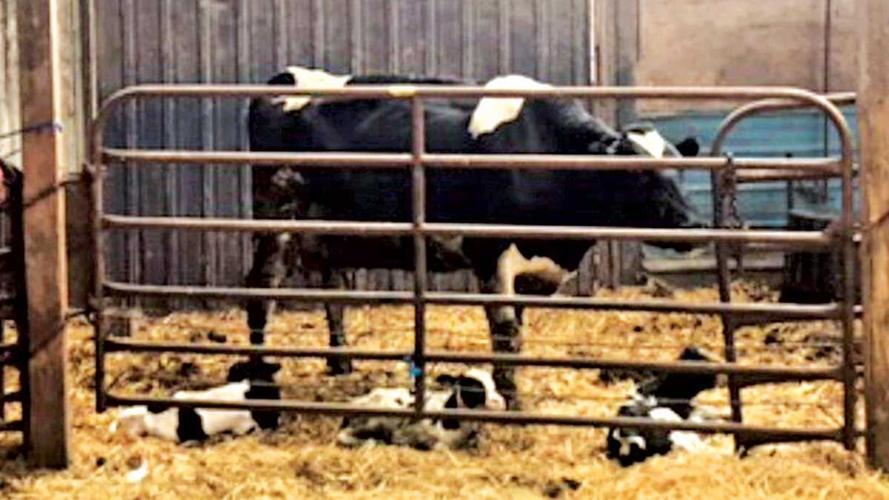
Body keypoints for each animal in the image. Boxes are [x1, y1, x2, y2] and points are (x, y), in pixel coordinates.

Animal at [244, 66, 702, 409]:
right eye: (639, 175)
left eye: (680, 168)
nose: (692, 226)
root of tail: (283, 78)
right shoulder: (491, 257)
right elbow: (505, 333)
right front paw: (514, 404)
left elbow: (516, 333)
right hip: (275, 214)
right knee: (261, 286)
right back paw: (260, 370)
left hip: (329, 229)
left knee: (334, 288)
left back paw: (341, 364)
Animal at [337, 367, 506, 450]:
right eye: (471, 386)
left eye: (493, 383)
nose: (500, 402)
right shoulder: (435, 442)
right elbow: (440, 447)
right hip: (374, 421)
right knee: (343, 435)